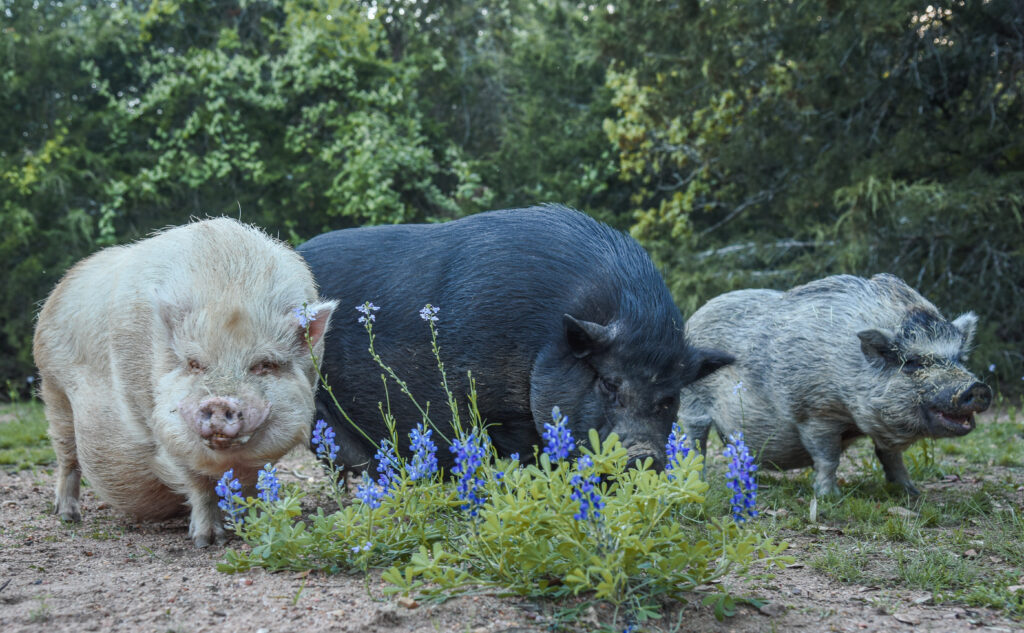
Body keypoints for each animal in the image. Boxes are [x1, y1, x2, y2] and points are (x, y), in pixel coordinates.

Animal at [33, 218, 336, 546]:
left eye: (264, 365)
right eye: (194, 363)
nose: (219, 401)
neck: (232, 289)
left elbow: (251, 482)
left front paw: (252, 526)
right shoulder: (156, 424)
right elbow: (198, 483)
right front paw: (207, 541)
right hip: (53, 390)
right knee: (66, 457)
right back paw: (68, 516)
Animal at [679, 273, 992, 497]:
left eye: (958, 358)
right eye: (913, 362)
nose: (977, 388)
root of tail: (693, 317)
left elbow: (891, 457)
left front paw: (911, 493)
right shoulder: (814, 412)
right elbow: (827, 458)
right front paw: (830, 497)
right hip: (692, 402)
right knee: (696, 442)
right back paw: (699, 481)